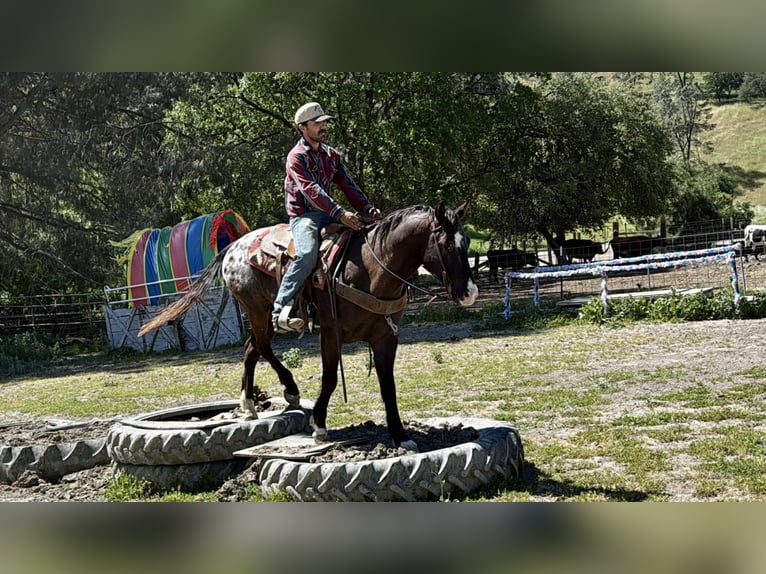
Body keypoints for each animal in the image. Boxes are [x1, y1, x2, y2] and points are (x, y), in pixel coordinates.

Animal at [138, 202, 478, 450]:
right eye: (447, 244)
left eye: (467, 241)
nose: (470, 293)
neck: (370, 269)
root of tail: (234, 247)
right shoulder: (330, 333)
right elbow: (329, 379)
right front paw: (319, 425)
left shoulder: (385, 338)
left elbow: (388, 387)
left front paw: (400, 436)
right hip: (259, 310)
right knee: (260, 346)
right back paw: (287, 391)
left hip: (261, 315)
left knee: (251, 349)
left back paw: (249, 405)